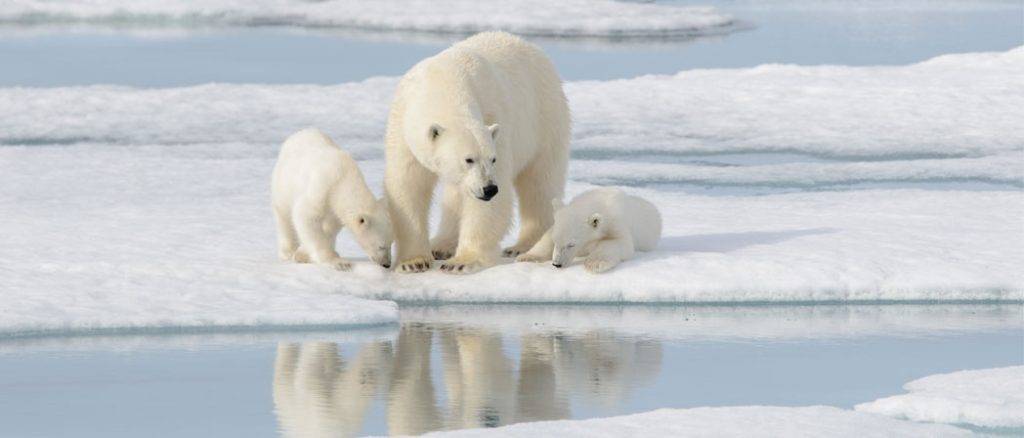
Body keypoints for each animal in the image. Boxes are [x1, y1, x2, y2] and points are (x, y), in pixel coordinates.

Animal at [272, 128, 391, 268]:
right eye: (381, 246)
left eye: (391, 243)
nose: (387, 264)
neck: (342, 179)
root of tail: (301, 132)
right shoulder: (321, 189)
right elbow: (305, 216)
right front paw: (338, 262)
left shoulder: (335, 210)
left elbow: (330, 228)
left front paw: (305, 254)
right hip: (283, 183)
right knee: (284, 215)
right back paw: (288, 251)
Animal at [385, 32, 573, 274]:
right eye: (468, 159)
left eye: (492, 159)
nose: (489, 189)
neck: (444, 83)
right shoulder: (402, 126)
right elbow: (407, 185)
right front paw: (413, 262)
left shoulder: (494, 119)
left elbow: (490, 206)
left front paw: (461, 261)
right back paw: (441, 245)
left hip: (544, 118)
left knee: (539, 183)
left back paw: (522, 246)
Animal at [516, 189, 659, 274]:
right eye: (555, 241)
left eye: (571, 244)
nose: (557, 264)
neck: (599, 203)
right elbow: (546, 237)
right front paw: (526, 257)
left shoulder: (616, 223)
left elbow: (619, 243)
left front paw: (594, 264)